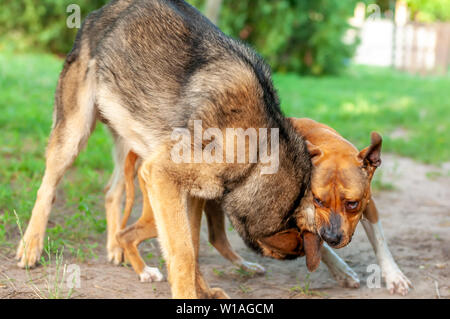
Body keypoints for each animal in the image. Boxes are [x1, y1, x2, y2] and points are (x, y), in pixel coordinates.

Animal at [16, 0, 316, 300]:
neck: (259, 153)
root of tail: (98, 13)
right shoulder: (162, 174)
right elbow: (184, 252)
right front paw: (188, 295)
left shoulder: (192, 192)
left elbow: (193, 245)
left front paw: (203, 291)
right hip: (74, 137)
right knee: (47, 190)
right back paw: (30, 247)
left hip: (130, 144)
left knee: (112, 192)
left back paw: (116, 248)